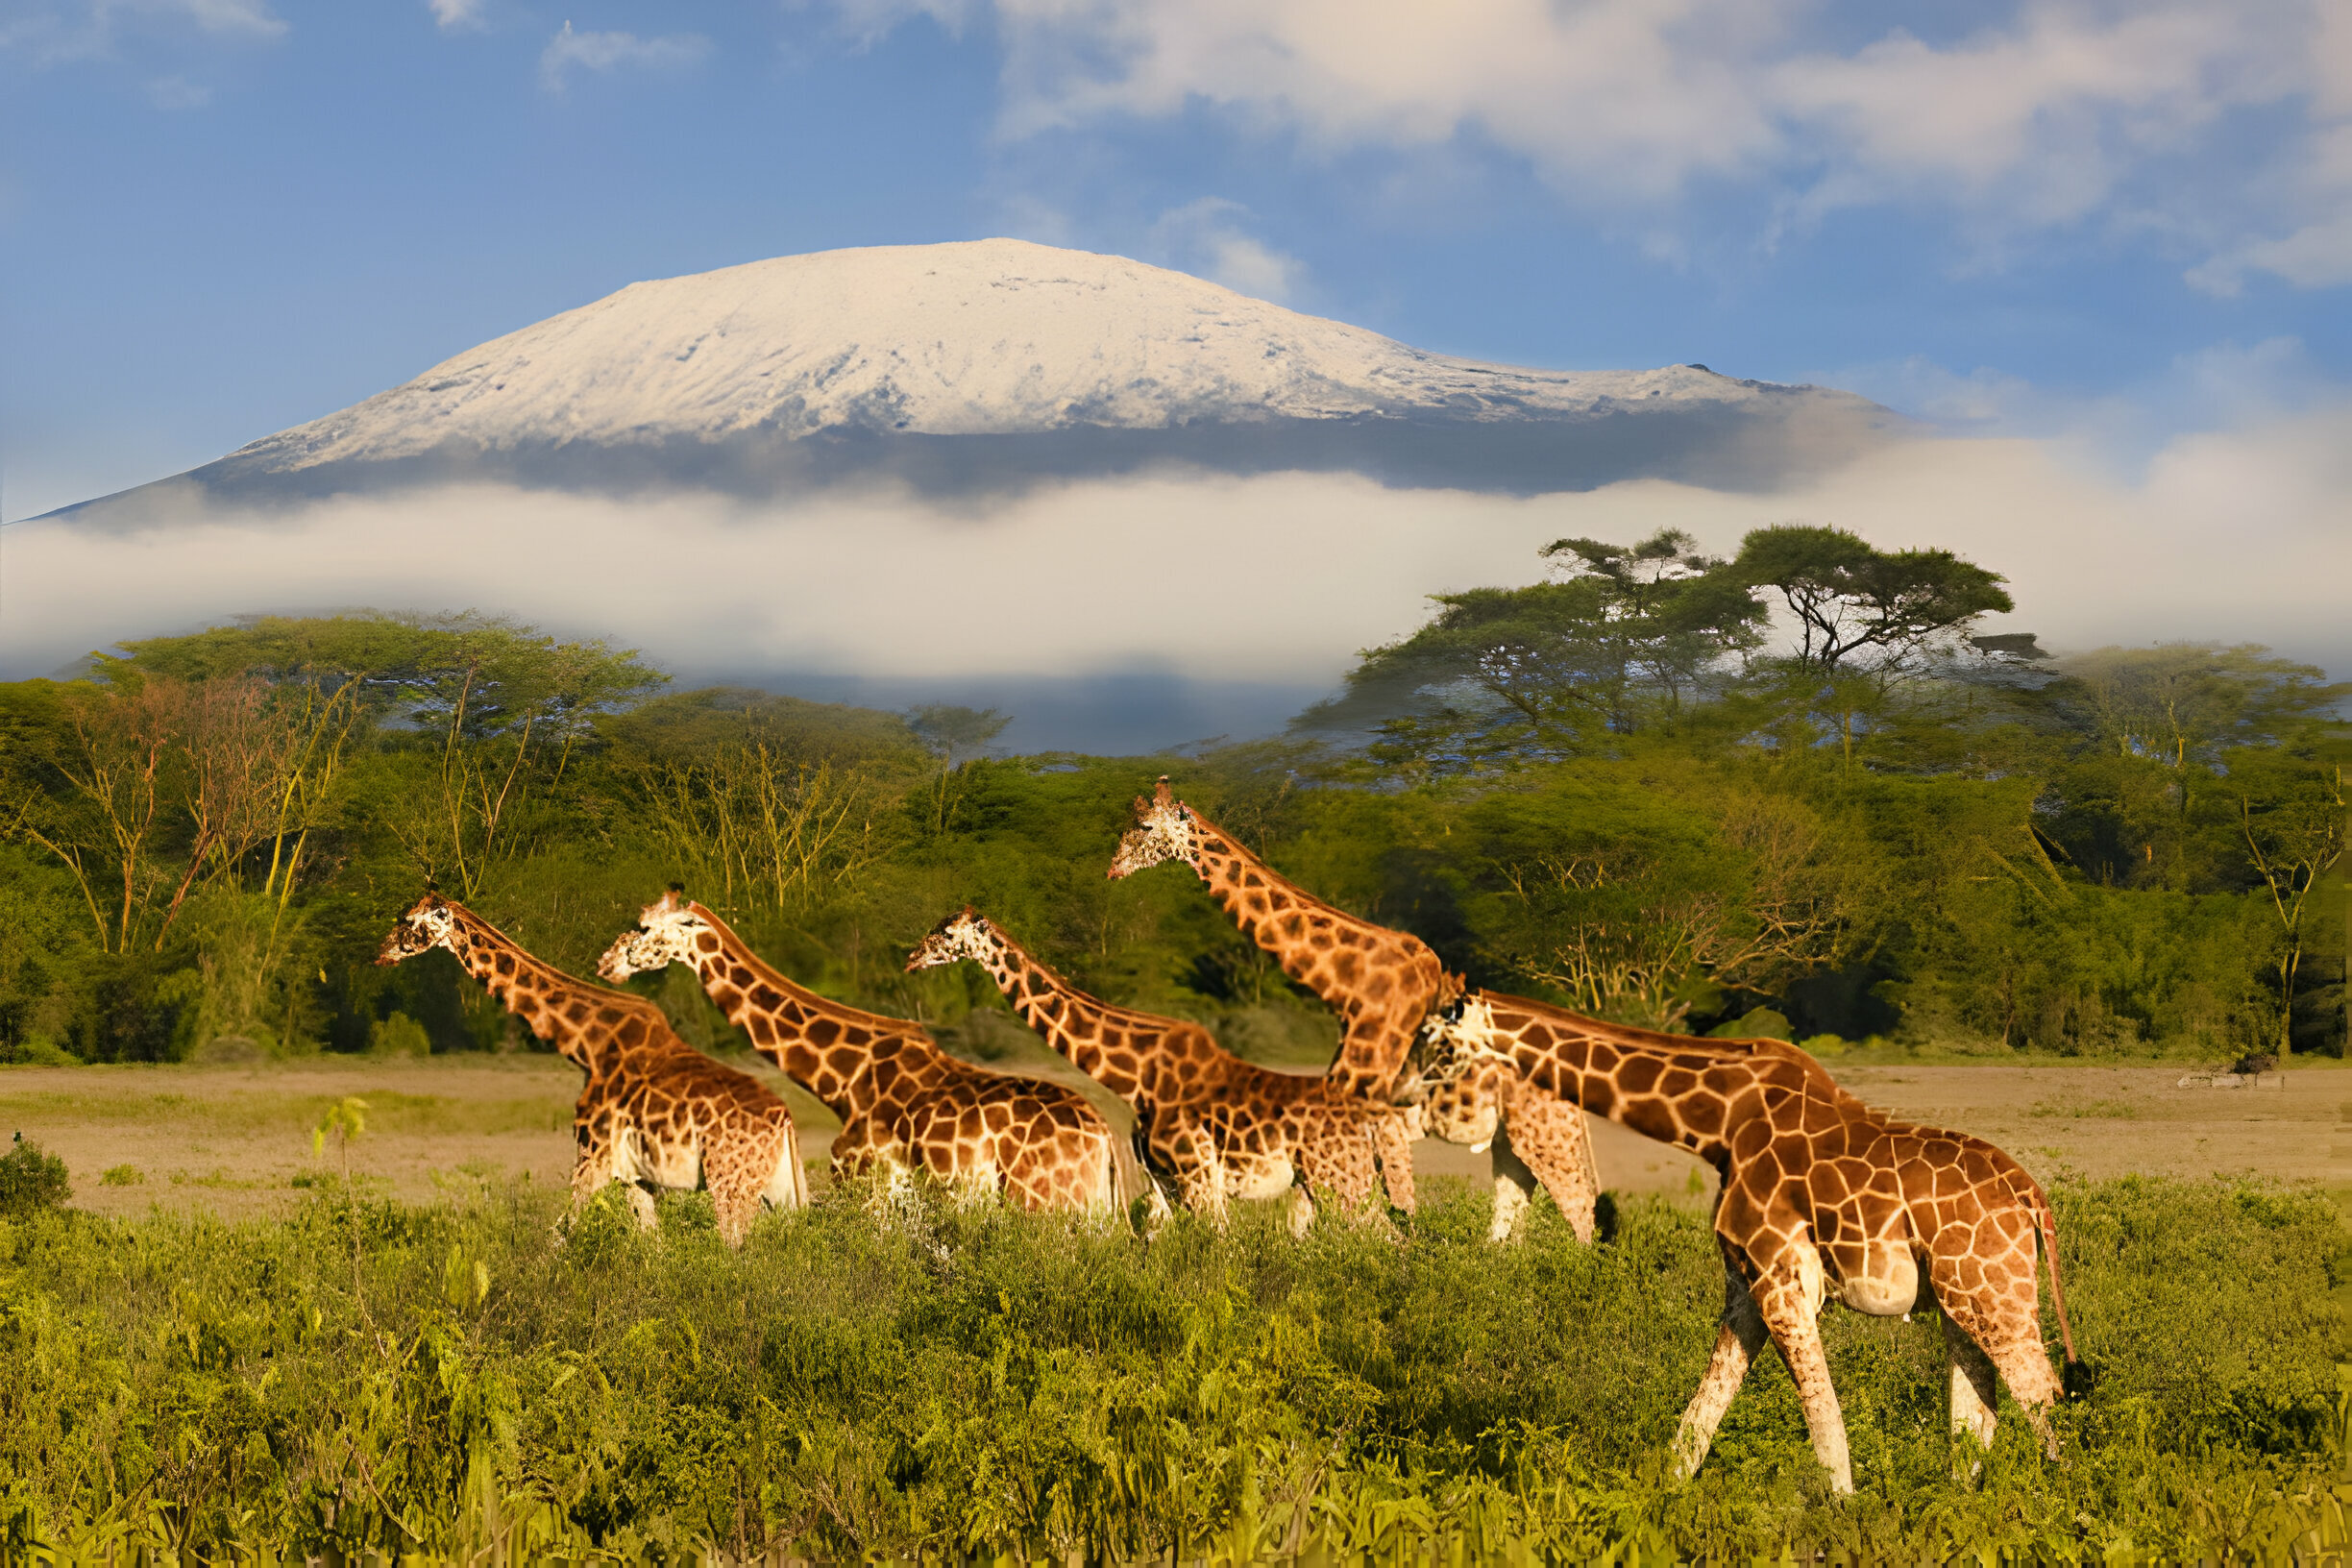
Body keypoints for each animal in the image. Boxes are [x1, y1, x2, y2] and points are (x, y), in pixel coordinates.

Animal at [371, 893, 804, 1250]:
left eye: (409, 920)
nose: (381, 951)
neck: (584, 1045)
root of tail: (784, 1121)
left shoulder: (592, 1154)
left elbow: (558, 1235)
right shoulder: (633, 1175)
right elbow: (653, 1245)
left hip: (729, 1180)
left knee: (736, 1247)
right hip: (774, 1187)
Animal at [592, 893, 1133, 1213]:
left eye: (644, 928)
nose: (604, 963)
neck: (843, 1080)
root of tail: (1104, 1137)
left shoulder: (867, 1186)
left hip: (1044, 1202)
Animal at [898, 907, 1410, 1240]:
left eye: (947, 934)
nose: (911, 958)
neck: (1137, 1077)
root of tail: (1371, 1120)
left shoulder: (1199, 1179)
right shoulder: (1166, 1182)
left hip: (1340, 1179)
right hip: (1322, 1182)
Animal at [1410, 992, 2079, 1495]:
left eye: (1435, 1043)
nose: (1401, 1095)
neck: (1718, 1124)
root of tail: (2031, 1197)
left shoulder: (1781, 1279)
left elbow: (1824, 1421)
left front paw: (1845, 1520)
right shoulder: (1744, 1284)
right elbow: (1700, 1417)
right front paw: (1659, 1505)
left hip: (1991, 1290)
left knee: (2044, 1398)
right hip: (1958, 1297)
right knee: (1979, 1409)